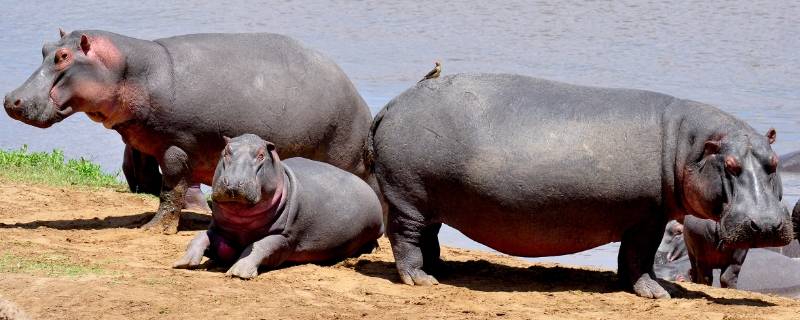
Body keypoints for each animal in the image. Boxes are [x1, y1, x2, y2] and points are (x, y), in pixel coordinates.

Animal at [3, 30, 374, 234]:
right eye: (44, 48)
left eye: (64, 55)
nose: (11, 99)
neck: (127, 70)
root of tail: (357, 96)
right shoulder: (146, 143)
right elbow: (156, 183)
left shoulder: (177, 144)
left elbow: (171, 189)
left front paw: (154, 230)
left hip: (342, 156)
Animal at [173, 134, 384, 278]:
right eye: (226, 151)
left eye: (261, 155)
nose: (233, 183)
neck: (241, 220)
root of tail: (366, 184)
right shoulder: (221, 229)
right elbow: (200, 236)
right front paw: (181, 263)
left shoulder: (286, 237)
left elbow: (260, 245)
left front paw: (239, 272)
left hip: (374, 228)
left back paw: (371, 250)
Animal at [370, 74, 792, 298]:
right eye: (731, 166)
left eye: (773, 162)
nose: (767, 225)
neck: (687, 146)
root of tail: (390, 105)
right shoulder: (647, 216)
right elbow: (638, 257)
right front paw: (657, 292)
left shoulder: (644, 217)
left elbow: (630, 259)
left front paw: (651, 287)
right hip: (408, 199)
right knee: (406, 238)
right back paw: (421, 279)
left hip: (428, 202)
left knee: (429, 237)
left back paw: (441, 269)